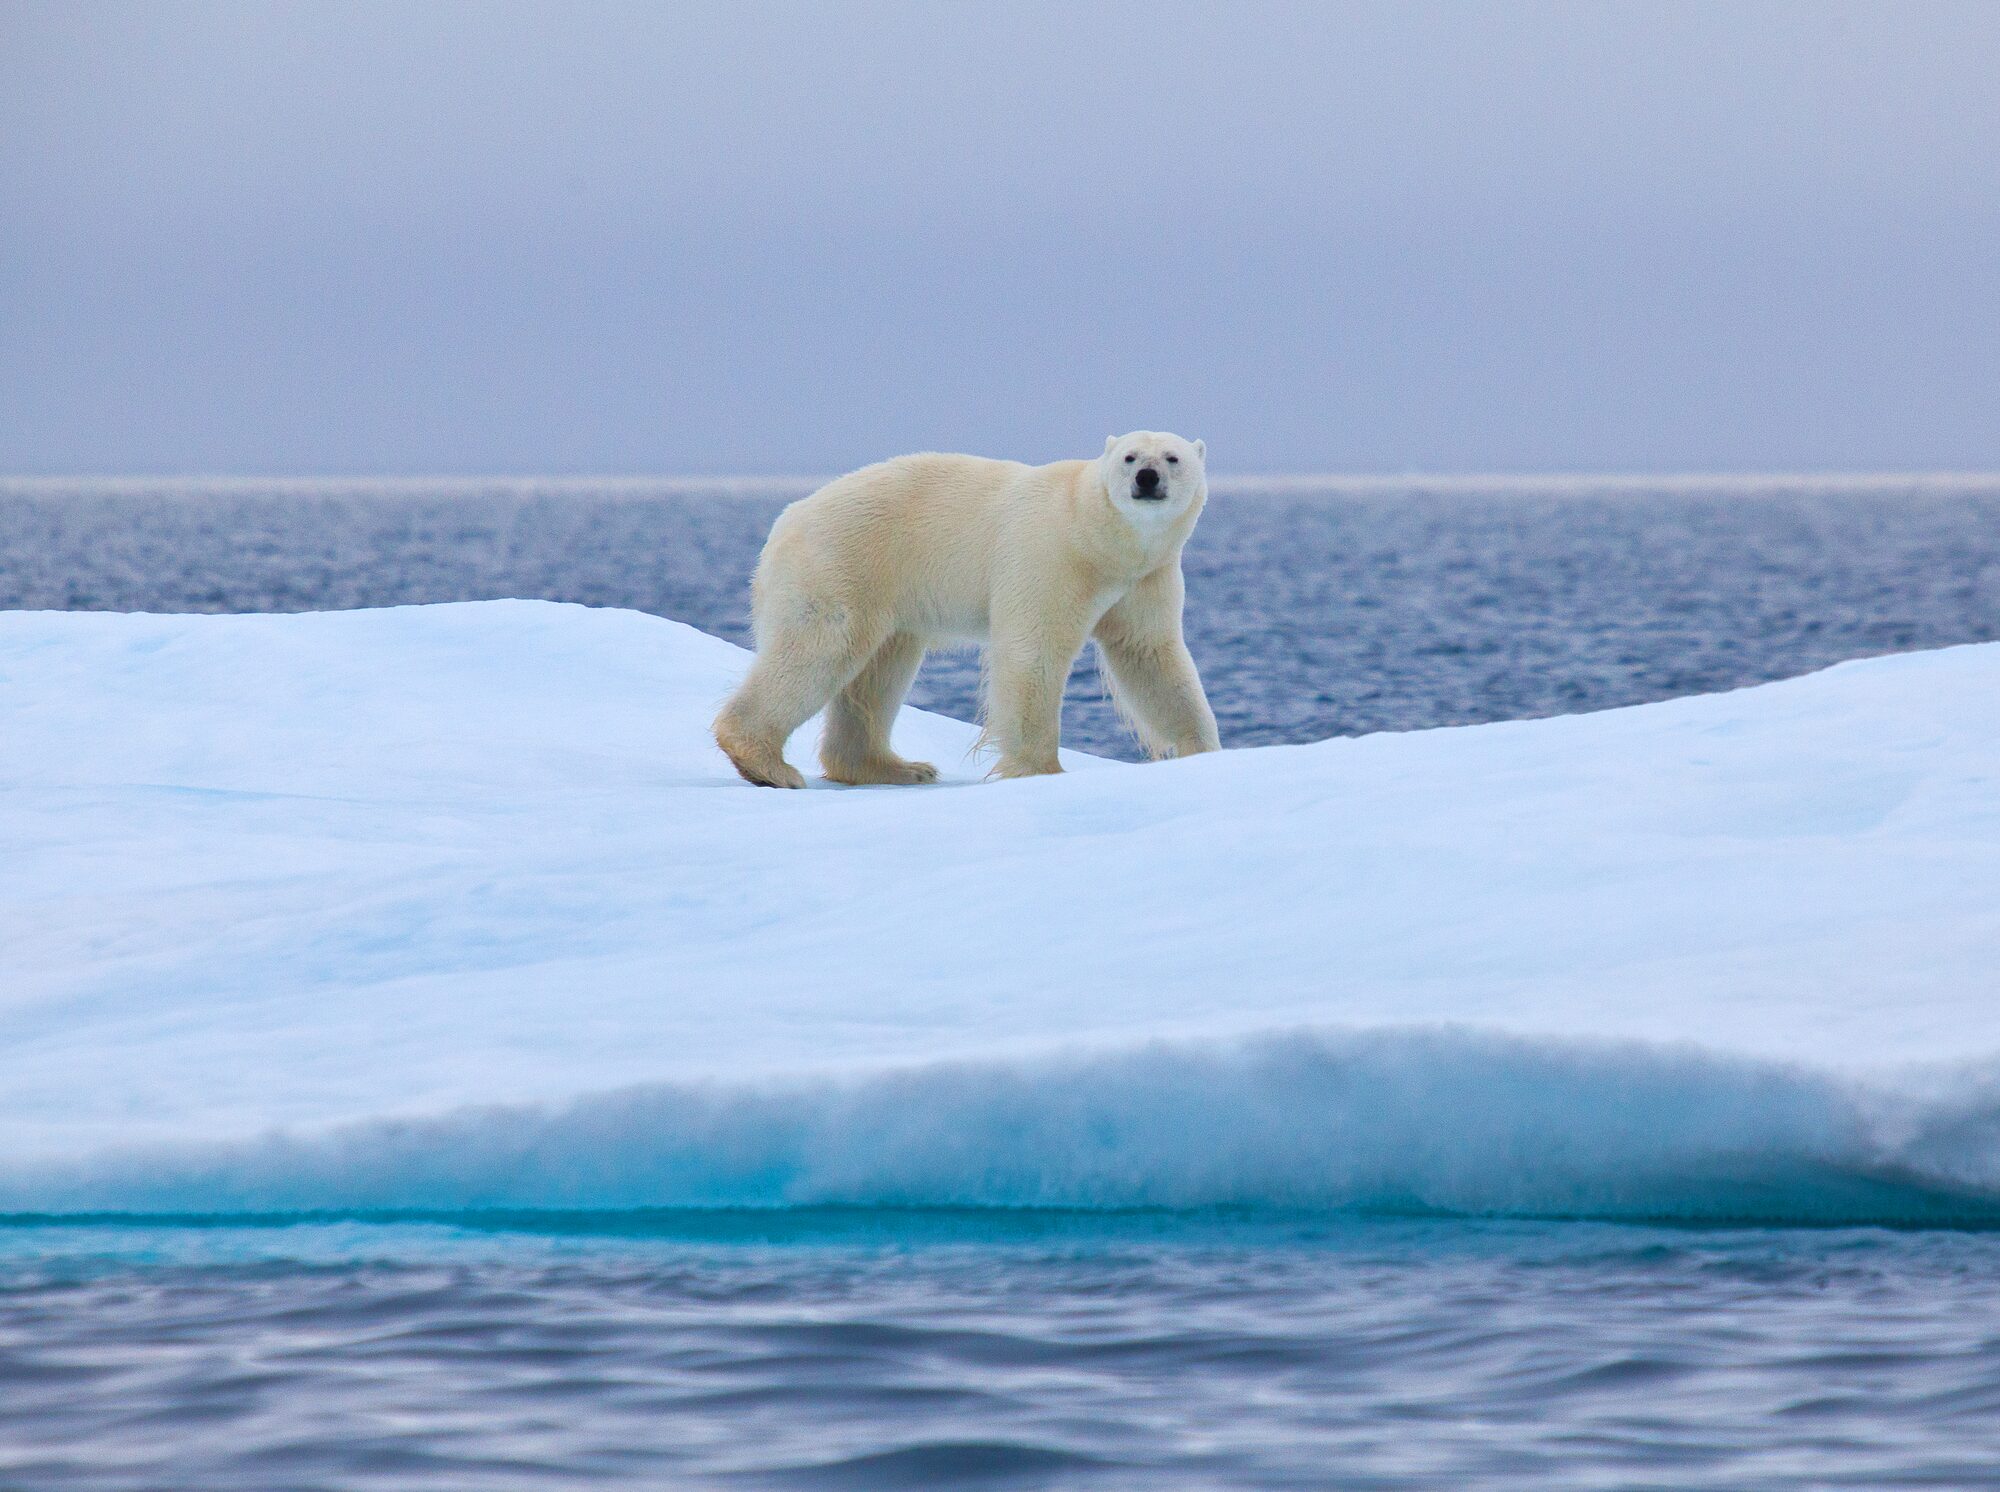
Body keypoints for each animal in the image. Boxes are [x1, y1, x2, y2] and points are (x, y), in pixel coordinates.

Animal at [712, 432, 1221, 788]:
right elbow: (1032, 652)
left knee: (878, 673)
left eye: (1172, 457)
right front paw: (1043, 770)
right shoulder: (1047, 554)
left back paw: (896, 767)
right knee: (821, 647)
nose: (1147, 478)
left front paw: (1204, 751)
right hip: (842, 562)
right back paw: (765, 763)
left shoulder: (1145, 577)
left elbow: (1150, 657)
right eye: (1130, 457)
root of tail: (788, 516)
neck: (1095, 537)